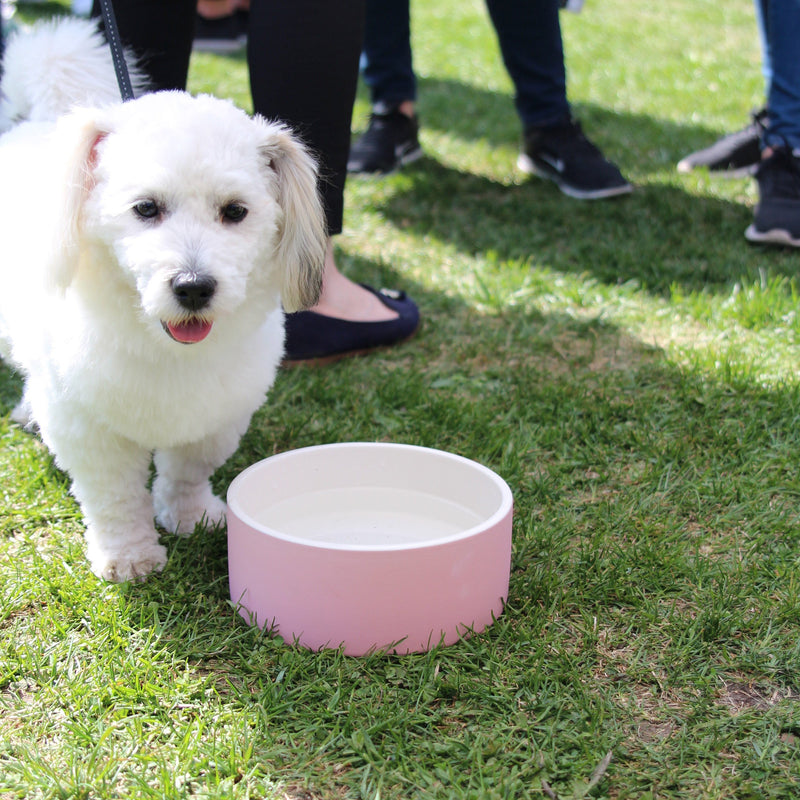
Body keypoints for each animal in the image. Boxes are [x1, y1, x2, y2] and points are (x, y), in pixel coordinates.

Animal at [0, 18, 328, 580]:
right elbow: (115, 499)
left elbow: (187, 471)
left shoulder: (215, 417)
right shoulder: (90, 430)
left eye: (235, 211)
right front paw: (129, 556)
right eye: (146, 208)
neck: (166, 349)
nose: (193, 286)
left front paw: (192, 517)